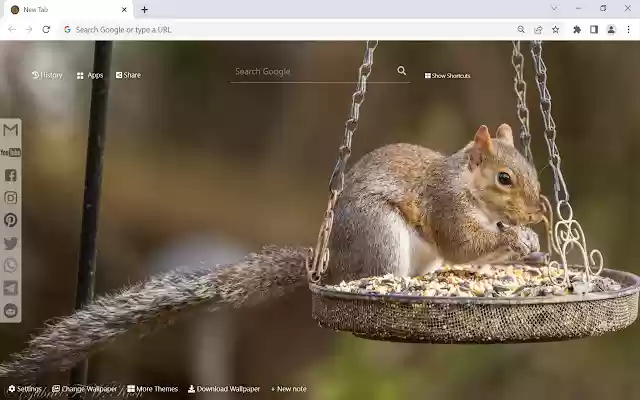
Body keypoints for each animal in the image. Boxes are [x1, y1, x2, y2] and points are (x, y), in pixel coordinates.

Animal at [0, 123, 542, 382]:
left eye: (534, 171)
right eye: (504, 178)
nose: (539, 213)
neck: (466, 186)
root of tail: (328, 263)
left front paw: (530, 245)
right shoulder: (445, 205)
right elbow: (463, 243)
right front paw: (513, 240)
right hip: (380, 236)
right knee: (376, 274)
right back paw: (397, 286)